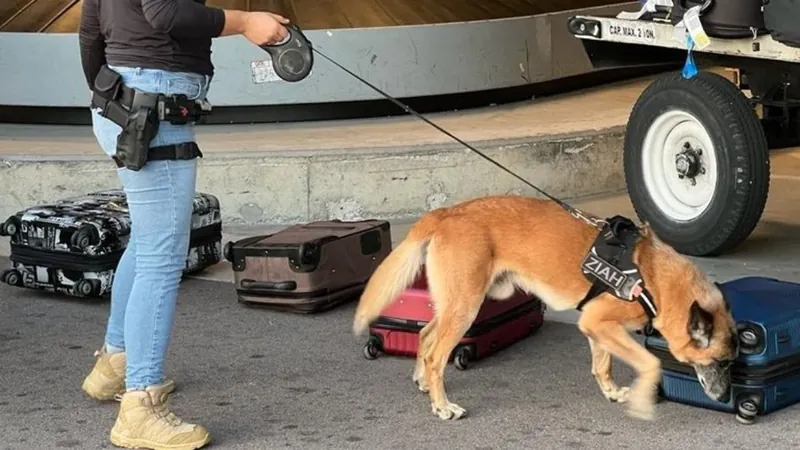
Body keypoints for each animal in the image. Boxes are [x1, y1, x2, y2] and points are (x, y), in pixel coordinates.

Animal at [354, 196, 740, 422]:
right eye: (719, 363)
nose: (724, 398)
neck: (654, 278)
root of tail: (446, 212)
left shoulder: (595, 325)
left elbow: (602, 364)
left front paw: (611, 391)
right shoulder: (602, 322)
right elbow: (651, 362)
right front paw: (643, 401)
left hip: (454, 303)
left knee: (424, 334)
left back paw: (422, 381)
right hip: (465, 307)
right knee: (437, 355)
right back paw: (441, 405)